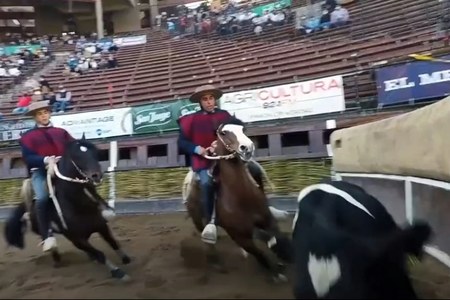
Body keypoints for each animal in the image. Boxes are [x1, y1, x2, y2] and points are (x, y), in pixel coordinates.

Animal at [3, 135, 130, 280]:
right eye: (76, 156)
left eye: (95, 152)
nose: (96, 175)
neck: (77, 205)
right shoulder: (76, 239)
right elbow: (100, 254)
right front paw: (118, 272)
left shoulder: (101, 226)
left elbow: (113, 242)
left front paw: (125, 258)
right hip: (43, 231)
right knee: (50, 242)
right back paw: (57, 259)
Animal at [182, 118, 292, 282]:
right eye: (223, 132)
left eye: (243, 129)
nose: (247, 147)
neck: (242, 197)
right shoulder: (240, 236)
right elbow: (259, 254)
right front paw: (275, 273)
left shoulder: (267, 220)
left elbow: (276, 239)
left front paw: (285, 255)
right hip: (198, 220)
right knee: (208, 241)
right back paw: (215, 262)